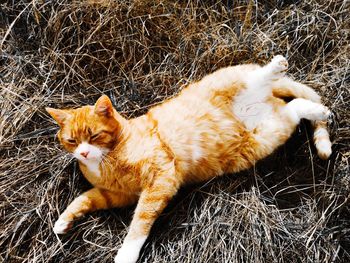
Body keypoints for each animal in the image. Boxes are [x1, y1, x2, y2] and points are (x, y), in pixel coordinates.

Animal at [45, 54, 330, 262]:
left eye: (94, 136)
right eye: (72, 141)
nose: (83, 152)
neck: (105, 161)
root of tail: (266, 99)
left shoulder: (160, 178)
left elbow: (140, 222)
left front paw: (126, 255)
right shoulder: (116, 195)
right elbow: (84, 198)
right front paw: (63, 221)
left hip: (231, 86)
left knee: (261, 81)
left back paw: (280, 70)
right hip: (265, 136)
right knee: (292, 108)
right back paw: (318, 110)